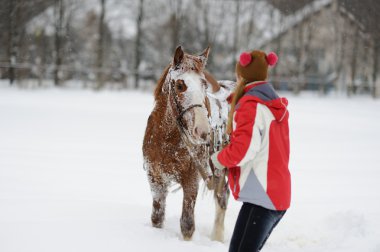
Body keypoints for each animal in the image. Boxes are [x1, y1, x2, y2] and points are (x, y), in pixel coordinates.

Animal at [142, 46, 232, 241]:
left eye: (204, 85)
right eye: (179, 85)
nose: (203, 131)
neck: (167, 140)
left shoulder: (191, 181)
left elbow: (187, 224)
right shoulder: (155, 179)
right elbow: (157, 218)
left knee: (222, 198)